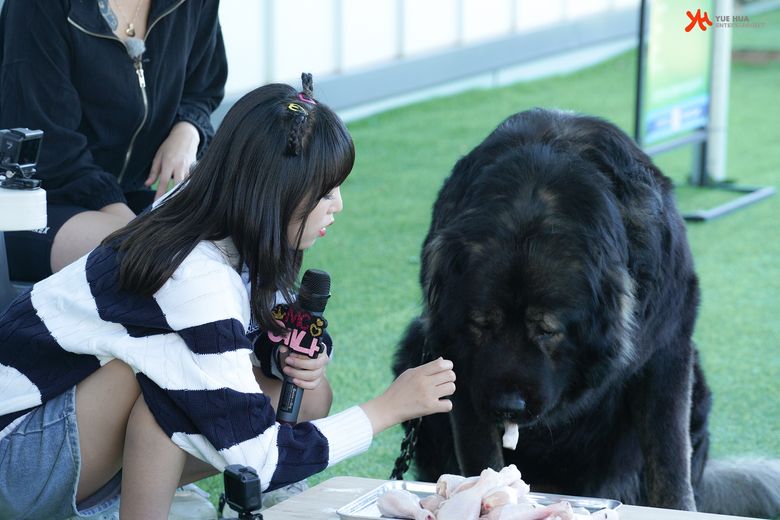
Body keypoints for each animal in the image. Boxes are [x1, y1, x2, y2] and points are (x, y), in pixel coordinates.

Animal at [396, 108, 780, 516]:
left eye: (547, 330)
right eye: (481, 325)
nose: (507, 407)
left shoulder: (668, 351)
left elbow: (670, 462)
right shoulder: (461, 368)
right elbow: (483, 457)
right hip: (414, 353)